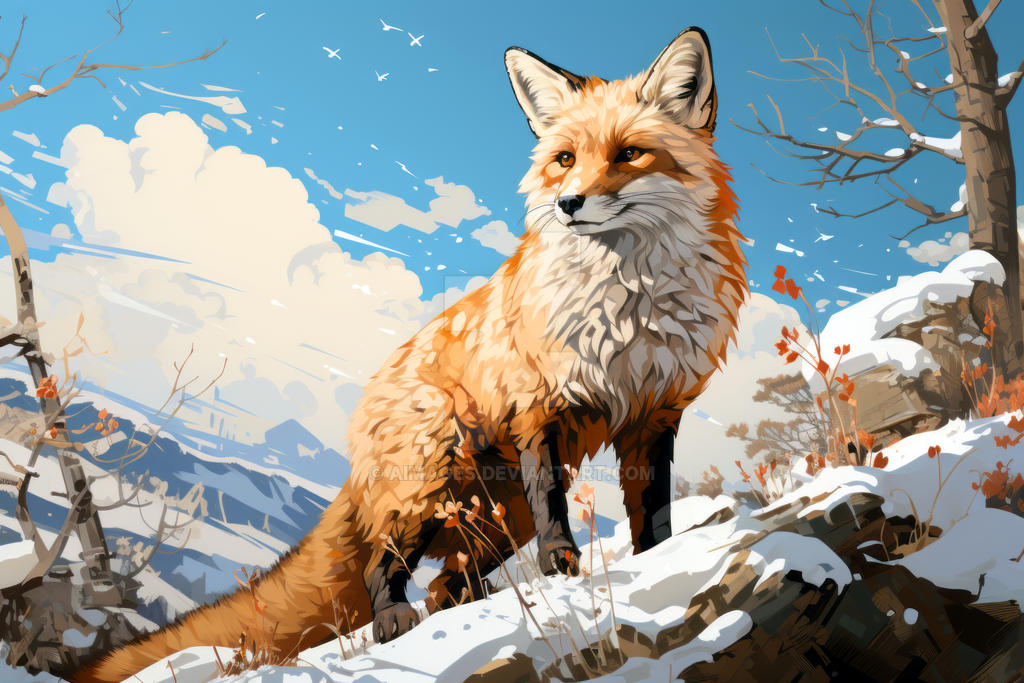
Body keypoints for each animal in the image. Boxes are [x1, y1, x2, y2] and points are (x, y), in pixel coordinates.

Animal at [74, 27, 746, 682]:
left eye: (629, 154)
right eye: (564, 161)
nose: (569, 204)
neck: (629, 306)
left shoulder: (655, 412)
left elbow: (651, 512)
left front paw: (661, 558)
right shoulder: (540, 407)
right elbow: (555, 504)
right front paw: (561, 566)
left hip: (495, 518)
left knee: (449, 585)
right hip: (429, 489)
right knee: (385, 567)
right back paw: (394, 621)